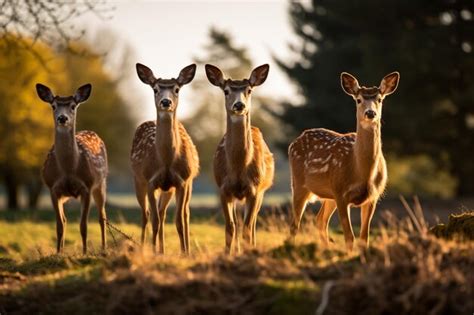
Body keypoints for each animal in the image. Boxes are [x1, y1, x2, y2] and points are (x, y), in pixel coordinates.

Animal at [36, 83, 108, 254]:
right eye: (53, 106)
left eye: (73, 106)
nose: (62, 118)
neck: (69, 169)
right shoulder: (53, 188)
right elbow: (59, 225)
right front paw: (58, 253)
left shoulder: (87, 186)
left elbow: (84, 226)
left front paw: (85, 252)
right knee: (65, 220)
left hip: (101, 183)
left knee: (102, 217)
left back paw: (104, 248)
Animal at [132, 63, 199, 256]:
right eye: (155, 89)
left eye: (176, 89)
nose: (166, 102)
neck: (167, 161)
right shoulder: (150, 181)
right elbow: (153, 219)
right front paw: (153, 252)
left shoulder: (182, 182)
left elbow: (178, 220)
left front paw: (184, 253)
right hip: (138, 180)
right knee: (147, 214)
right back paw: (148, 248)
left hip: (181, 185)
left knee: (180, 213)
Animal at [206, 63, 276, 254]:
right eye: (226, 91)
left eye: (249, 90)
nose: (239, 105)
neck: (238, 168)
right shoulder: (224, 189)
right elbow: (230, 226)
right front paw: (228, 254)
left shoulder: (254, 189)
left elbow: (247, 227)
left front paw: (247, 253)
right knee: (238, 223)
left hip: (262, 191)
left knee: (251, 224)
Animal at [288, 71, 400, 252]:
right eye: (358, 99)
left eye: (380, 99)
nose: (370, 113)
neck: (361, 172)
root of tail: (296, 140)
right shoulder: (341, 192)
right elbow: (349, 237)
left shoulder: (373, 196)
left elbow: (364, 238)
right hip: (299, 183)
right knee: (294, 224)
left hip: (329, 195)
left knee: (320, 220)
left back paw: (327, 248)